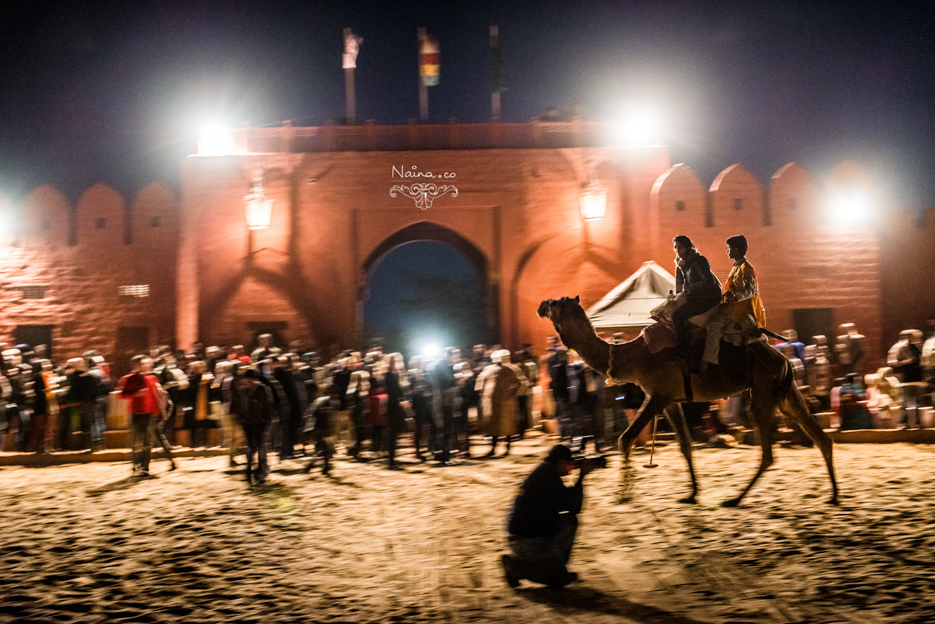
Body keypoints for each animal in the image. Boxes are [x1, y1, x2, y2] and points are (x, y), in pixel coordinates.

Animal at [540, 298, 840, 508]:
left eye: (558, 303)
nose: (542, 306)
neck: (632, 356)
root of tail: (785, 358)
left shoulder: (657, 394)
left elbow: (625, 440)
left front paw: (624, 494)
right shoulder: (671, 399)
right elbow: (685, 446)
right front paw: (692, 493)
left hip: (763, 392)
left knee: (769, 453)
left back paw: (735, 499)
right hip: (785, 393)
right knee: (820, 437)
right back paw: (834, 495)